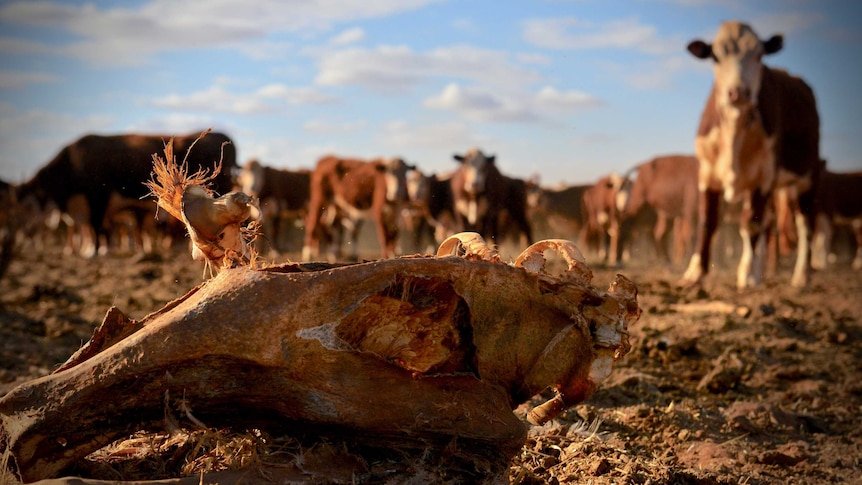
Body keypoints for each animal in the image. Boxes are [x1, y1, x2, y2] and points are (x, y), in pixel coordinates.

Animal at [17, 129, 240, 258]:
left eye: (28, 203)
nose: (27, 231)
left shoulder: (98, 197)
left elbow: (96, 225)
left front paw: (95, 251)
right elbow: (96, 227)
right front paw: (94, 249)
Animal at [680, 19, 824, 288]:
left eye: (758, 55)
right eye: (716, 56)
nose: (738, 92)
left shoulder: (763, 177)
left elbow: (751, 224)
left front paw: (746, 274)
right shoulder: (707, 173)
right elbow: (707, 222)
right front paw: (695, 273)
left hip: (806, 178)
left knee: (804, 225)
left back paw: (801, 275)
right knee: (768, 223)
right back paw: (761, 272)